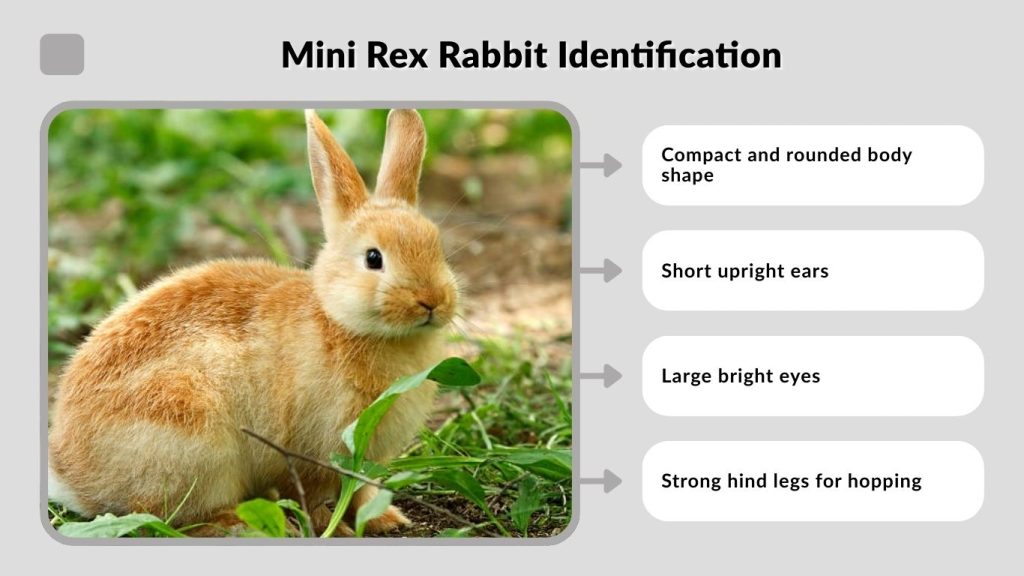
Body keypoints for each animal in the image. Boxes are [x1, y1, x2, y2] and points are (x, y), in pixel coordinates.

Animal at [47, 109, 459, 536]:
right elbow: (314, 497)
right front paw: (337, 528)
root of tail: (70, 478)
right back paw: (241, 522)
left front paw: (386, 520)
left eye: (436, 246)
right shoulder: (313, 450)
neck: (338, 320)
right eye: (373, 258)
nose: (432, 301)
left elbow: (361, 494)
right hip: (193, 438)